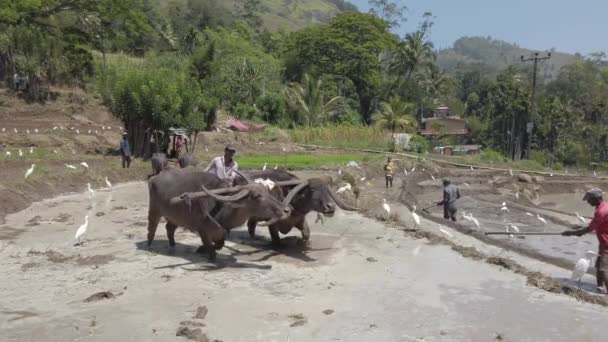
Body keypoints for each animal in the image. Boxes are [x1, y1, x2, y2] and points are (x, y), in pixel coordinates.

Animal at [145, 170, 292, 260]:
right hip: (154, 211)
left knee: (169, 228)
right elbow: (210, 245)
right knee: (151, 229)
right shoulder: (202, 229)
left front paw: (202, 249)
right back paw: (149, 244)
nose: (286, 210)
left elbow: (220, 243)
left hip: (175, 216)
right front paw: (208, 253)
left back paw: (173, 244)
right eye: (257, 196)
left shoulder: (220, 230)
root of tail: (154, 178)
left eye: (267, 191)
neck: (220, 205)